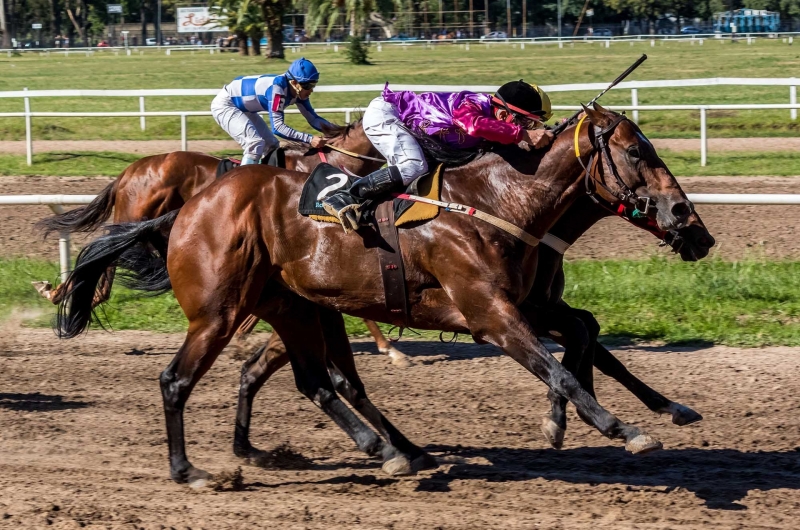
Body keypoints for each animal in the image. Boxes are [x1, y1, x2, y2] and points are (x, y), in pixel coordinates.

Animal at [59, 103, 716, 482]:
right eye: (636, 150)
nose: (690, 223)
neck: (501, 203)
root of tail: (186, 208)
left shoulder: (529, 303)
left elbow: (583, 337)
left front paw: (604, 416)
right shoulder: (491, 313)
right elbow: (560, 366)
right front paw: (619, 427)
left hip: (293, 307)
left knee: (316, 380)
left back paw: (392, 449)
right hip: (221, 312)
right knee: (180, 379)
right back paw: (190, 470)